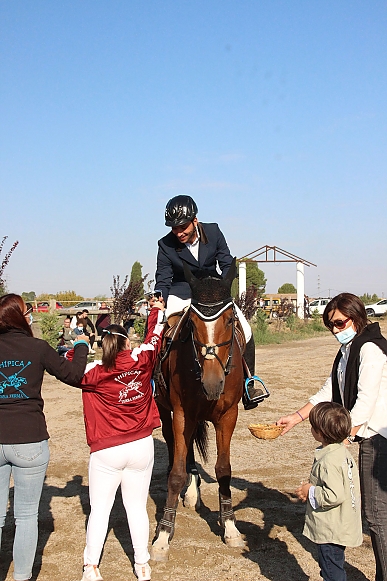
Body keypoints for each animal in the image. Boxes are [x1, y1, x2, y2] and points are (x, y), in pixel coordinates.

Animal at [151, 256, 246, 560]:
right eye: (191, 323)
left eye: (230, 320)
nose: (212, 383)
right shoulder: (183, 414)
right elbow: (176, 473)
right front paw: (163, 535)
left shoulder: (228, 416)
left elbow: (224, 470)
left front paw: (230, 527)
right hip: (168, 411)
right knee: (175, 446)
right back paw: (190, 491)